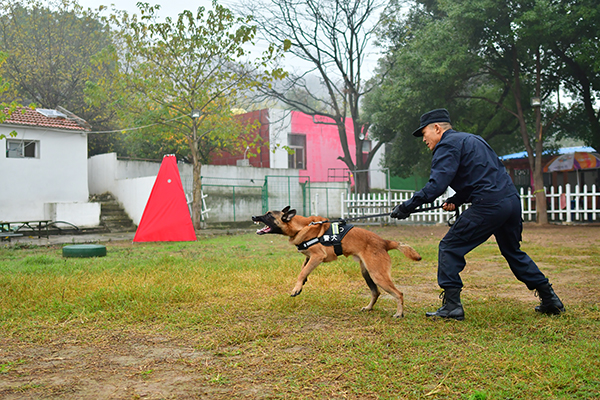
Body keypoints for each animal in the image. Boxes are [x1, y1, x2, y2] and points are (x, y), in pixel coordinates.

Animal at [253, 208, 422, 318]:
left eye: (269, 214)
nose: (254, 216)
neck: (301, 227)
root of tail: (384, 242)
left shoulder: (317, 257)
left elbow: (302, 272)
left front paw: (296, 288)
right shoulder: (309, 257)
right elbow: (303, 269)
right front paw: (301, 284)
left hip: (378, 275)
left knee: (399, 294)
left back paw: (399, 313)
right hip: (367, 273)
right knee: (376, 292)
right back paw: (368, 308)